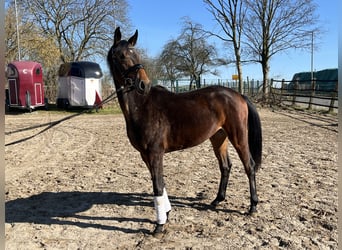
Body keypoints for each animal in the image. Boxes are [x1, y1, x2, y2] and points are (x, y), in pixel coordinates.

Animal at [107, 27, 262, 236]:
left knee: (249, 166)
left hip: (238, 137)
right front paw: (166, 213)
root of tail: (238, 95)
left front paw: (159, 225)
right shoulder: (145, 155)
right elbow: (159, 182)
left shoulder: (155, 153)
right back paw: (217, 200)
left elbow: (157, 186)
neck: (142, 106)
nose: (144, 84)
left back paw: (252, 206)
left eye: (136, 54)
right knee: (225, 166)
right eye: (122, 55)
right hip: (218, 138)